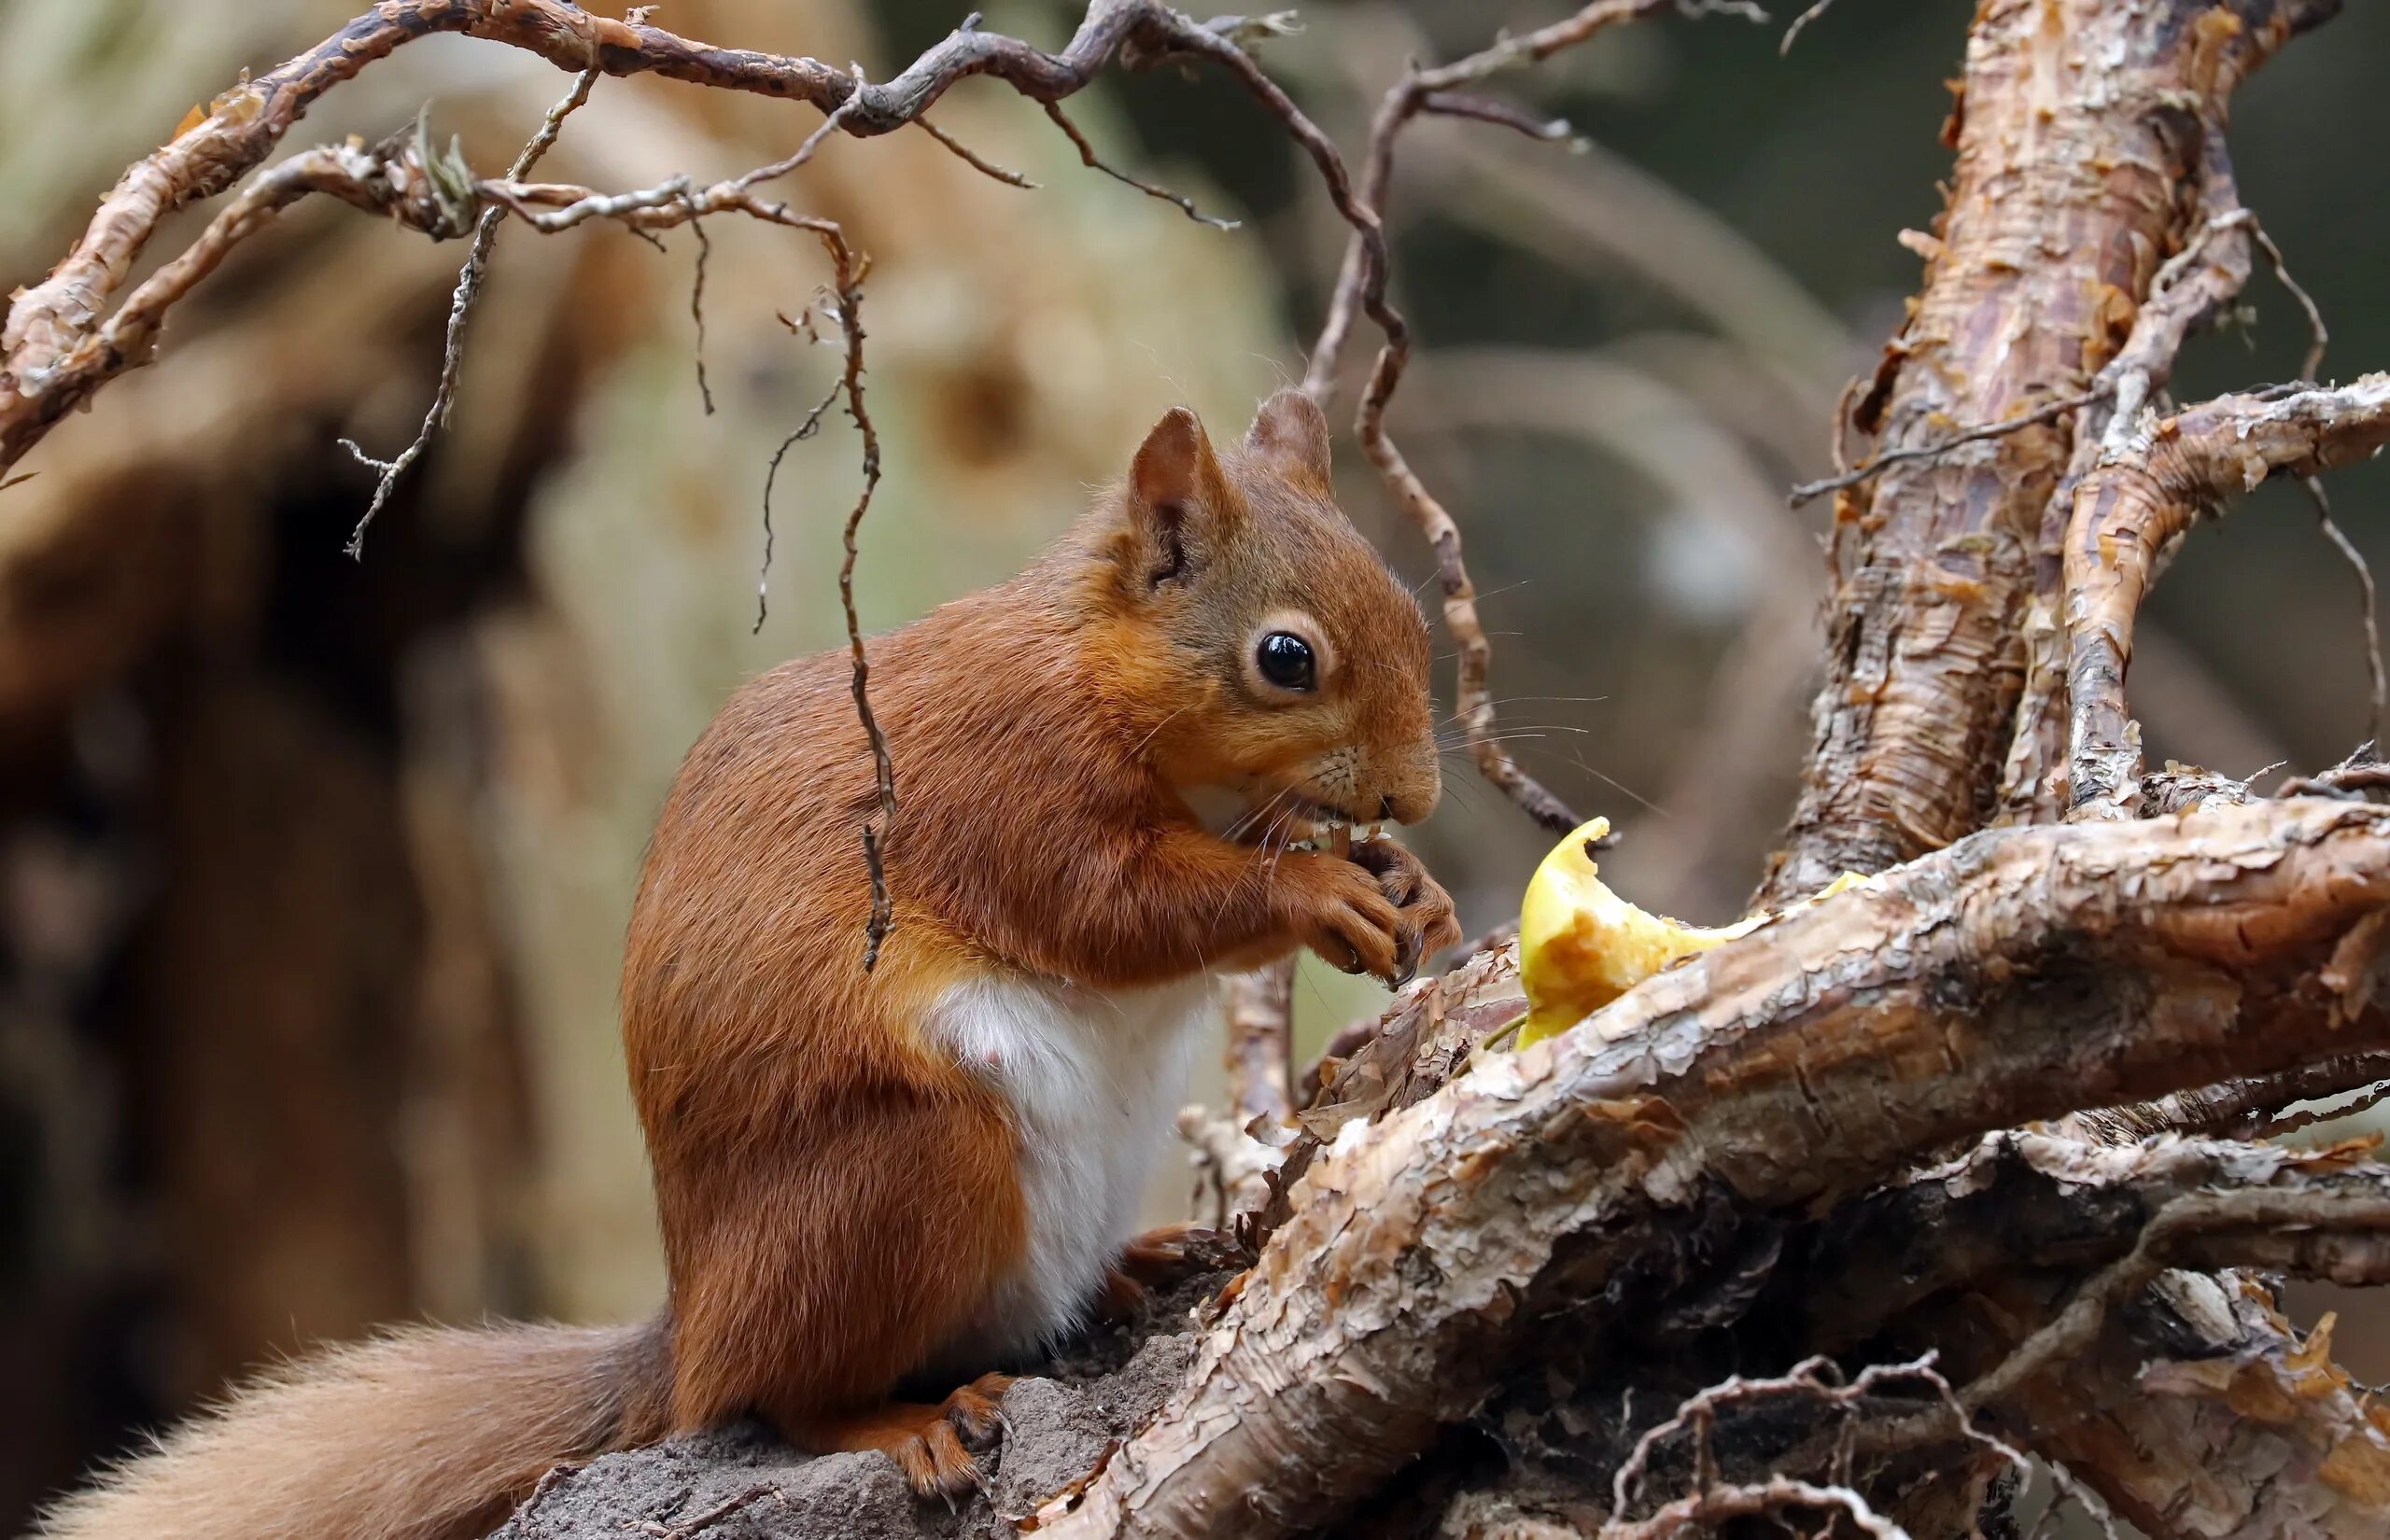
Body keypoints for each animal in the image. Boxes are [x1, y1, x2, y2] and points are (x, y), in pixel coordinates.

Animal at [37, 391, 1453, 1537]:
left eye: (1407, 605)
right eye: (1285, 658)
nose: (1417, 797)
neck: (1102, 671)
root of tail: (690, 1329)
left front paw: (1412, 889)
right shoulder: (1008, 785)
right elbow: (1115, 909)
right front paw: (1317, 889)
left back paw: (1136, 1262)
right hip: (905, 1171)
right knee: (775, 1396)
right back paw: (899, 1421)